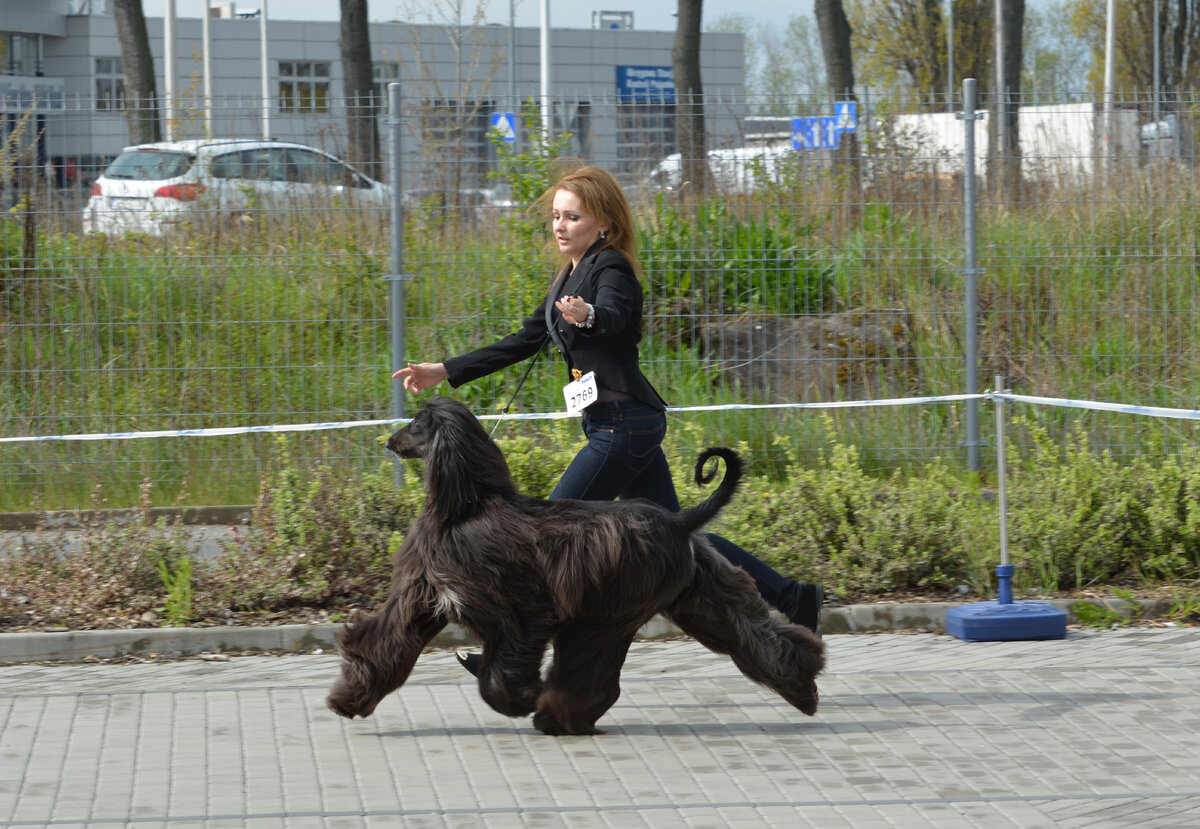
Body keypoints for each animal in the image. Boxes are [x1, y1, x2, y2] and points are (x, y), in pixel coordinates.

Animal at [324, 398, 820, 734]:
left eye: (416, 422)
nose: (388, 440)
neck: (464, 509)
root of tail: (679, 522)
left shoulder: (522, 610)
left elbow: (500, 671)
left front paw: (516, 700)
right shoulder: (424, 598)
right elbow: (381, 642)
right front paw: (349, 700)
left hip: (604, 611)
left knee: (590, 669)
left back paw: (554, 715)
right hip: (693, 593)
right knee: (754, 631)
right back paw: (805, 688)